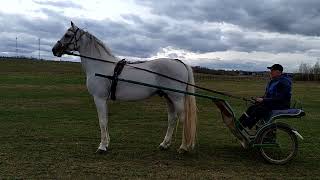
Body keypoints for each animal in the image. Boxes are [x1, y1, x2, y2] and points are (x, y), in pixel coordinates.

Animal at [52, 21, 198, 153]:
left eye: (67, 35)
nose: (54, 50)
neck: (100, 65)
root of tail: (179, 62)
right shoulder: (103, 100)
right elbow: (106, 120)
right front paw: (107, 143)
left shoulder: (99, 98)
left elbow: (102, 121)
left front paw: (102, 147)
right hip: (168, 97)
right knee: (172, 119)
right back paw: (164, 144)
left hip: (177, 98)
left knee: (183, 119)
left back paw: (183, 147)